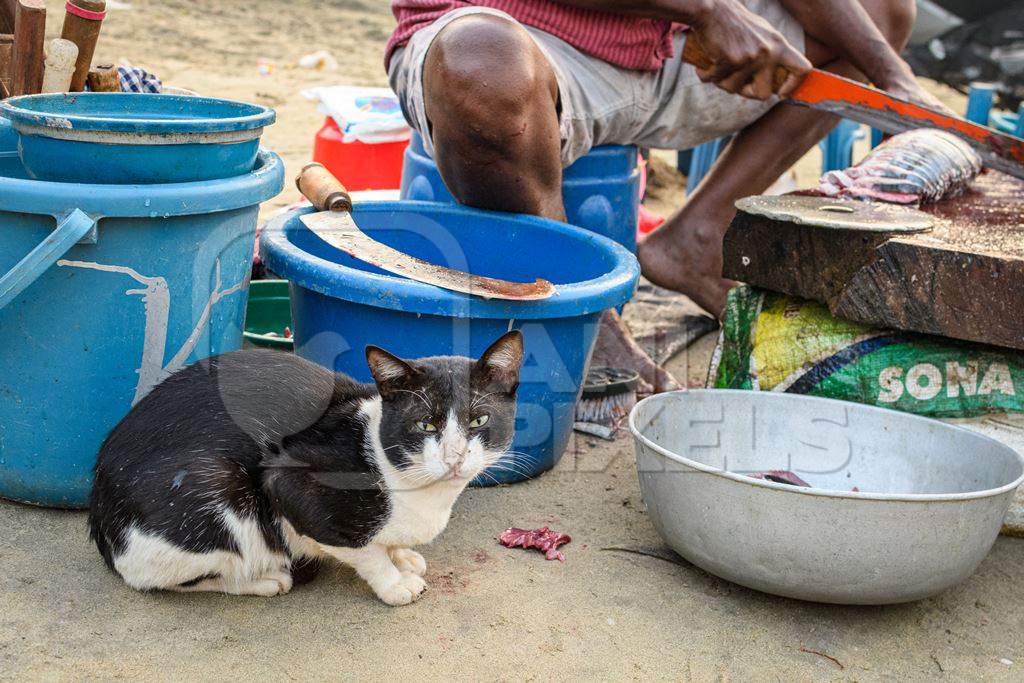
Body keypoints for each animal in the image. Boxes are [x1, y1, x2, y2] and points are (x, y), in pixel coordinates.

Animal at [88, 333, 524, 606]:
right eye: (426, 425)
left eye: (478, 421)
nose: (455, 457)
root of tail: (100, 518)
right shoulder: (289, 482)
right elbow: (363, 549)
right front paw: (393, 581)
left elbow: (387, 544)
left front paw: (402, 556)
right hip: (218, 487)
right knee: (150, 577)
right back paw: (262, 580)